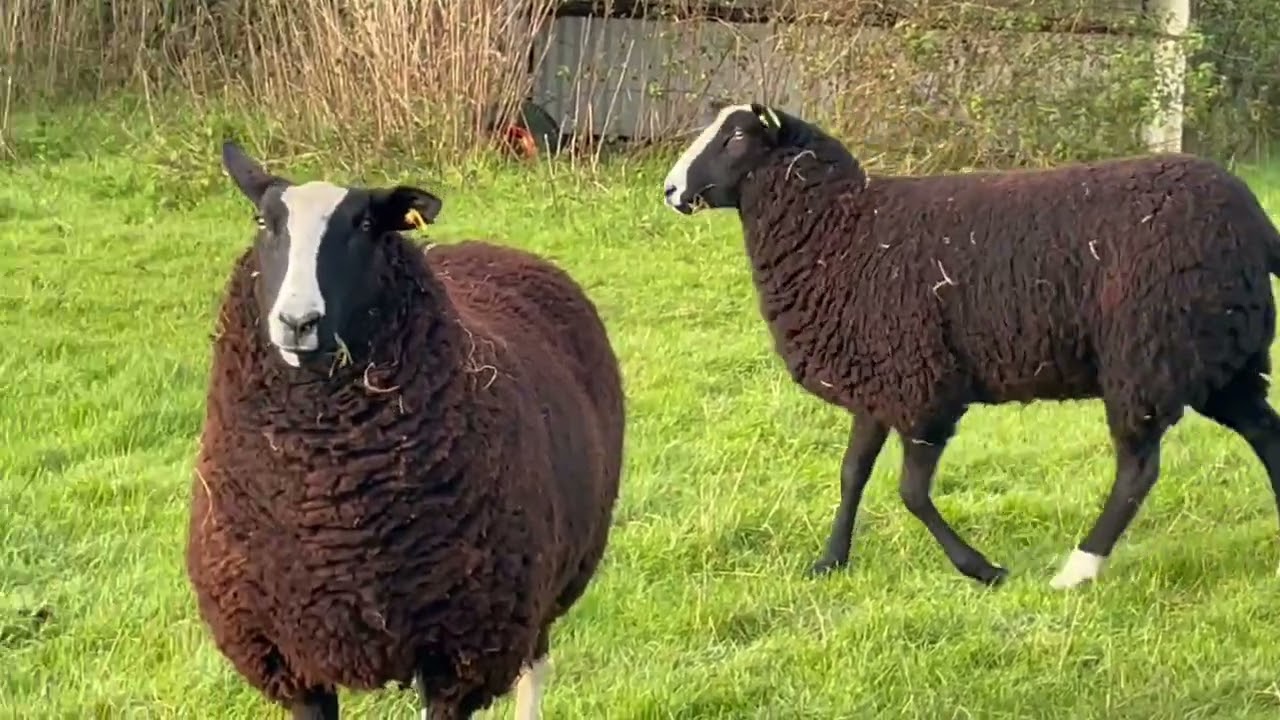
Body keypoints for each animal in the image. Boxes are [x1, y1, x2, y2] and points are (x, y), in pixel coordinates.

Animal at [186, 142, 626, 719]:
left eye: (367, 224)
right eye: (263, 220)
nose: (297, 322)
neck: (329, 508)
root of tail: (494, 248)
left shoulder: (459, 655)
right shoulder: (291, 656)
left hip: (538, 595)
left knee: (535, 670)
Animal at [660, 101, 1280, 590]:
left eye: (737, 137)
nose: (670, 190)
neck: (843, 228)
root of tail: (1254, 218)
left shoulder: (922, 385)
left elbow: (911, 492)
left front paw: (983, 570)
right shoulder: (877, 379)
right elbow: (851, 473)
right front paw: (830, 561)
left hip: (1149, 353)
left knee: (1138, 469)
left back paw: (1078, 569)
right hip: (1219, 354)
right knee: (1264, 431)